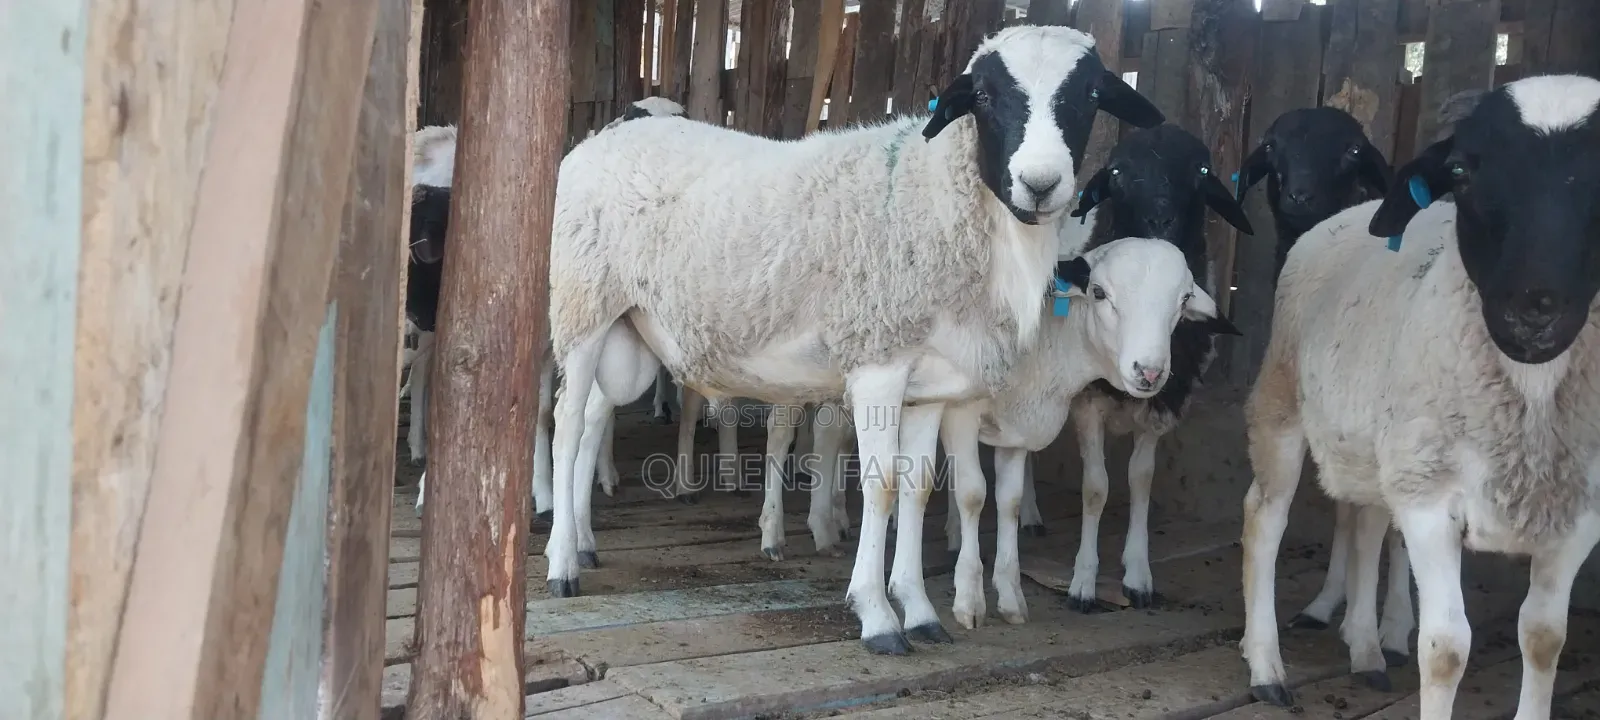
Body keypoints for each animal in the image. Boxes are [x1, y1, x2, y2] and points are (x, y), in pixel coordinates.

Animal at [542, 24, 1165, 655]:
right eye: (986, 96)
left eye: (1090, 95)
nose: (1041, 185)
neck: (936, 196)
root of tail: (598, 139)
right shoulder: (877, 360)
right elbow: (882, 485)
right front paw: (878, 615)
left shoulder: (931, 384)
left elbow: (917, 488)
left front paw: (920, 611)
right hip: (582, 304)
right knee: (566, 428)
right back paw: (561, 564)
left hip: (628, 331)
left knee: (593, 420)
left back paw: (583, 541)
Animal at [939, 235, 1238, 628]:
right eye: (1098, 292)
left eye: (1185, 298)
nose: (1149, 371)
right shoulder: (962, 411)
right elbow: (973, 493)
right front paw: (969, 601)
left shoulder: (1017, 419)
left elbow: (1010, 500)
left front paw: (1009, 597)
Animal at [1238, 74, 1600, 720]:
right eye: (1460, 169)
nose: (1534, 305)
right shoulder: (1431, 498)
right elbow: (1446, 648)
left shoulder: (1577, 512)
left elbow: (1543, 638)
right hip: (1282, 406)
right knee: (1265, 518)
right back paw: (1267, 666)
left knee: (1364, 520)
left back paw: (1363, 647)